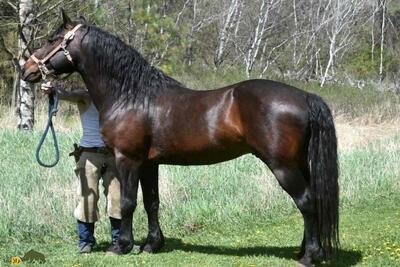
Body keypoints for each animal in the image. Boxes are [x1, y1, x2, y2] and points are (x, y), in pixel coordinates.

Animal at [22, 11, 338, 266]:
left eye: (53, 39)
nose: (27, 70)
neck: (131, 95)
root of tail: (304, 96)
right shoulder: (149, 164)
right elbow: (151, 202)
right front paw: (152, 245)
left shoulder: (128, 160)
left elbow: (127, 202)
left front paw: (122, 246)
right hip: (299, 163)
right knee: (312, 200)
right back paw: (306, 251)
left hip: (283, 166)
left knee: (306, 201)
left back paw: (309, 256)